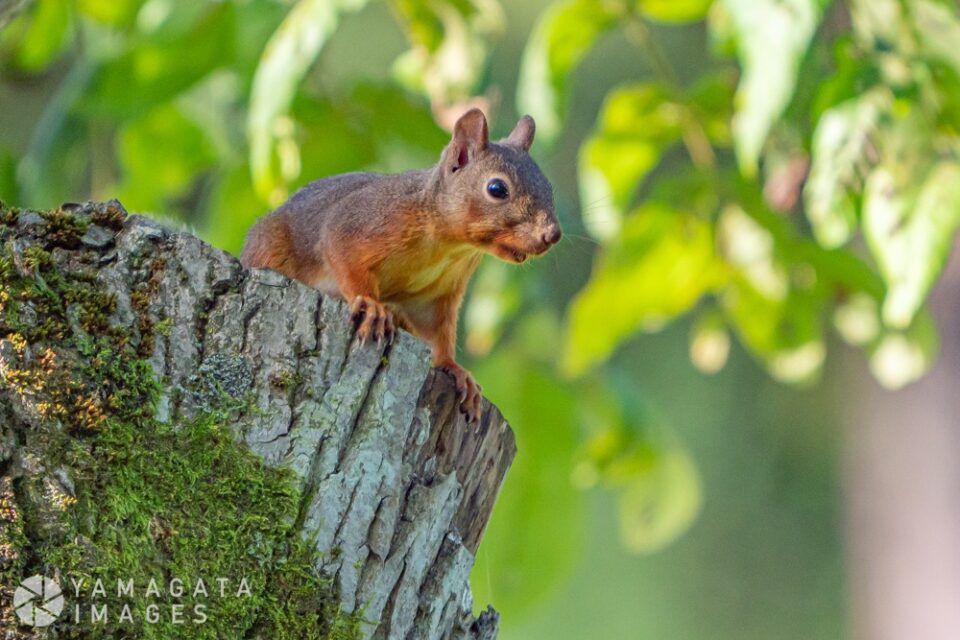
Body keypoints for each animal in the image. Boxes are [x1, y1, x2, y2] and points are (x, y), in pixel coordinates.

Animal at [239, 109, 564, 420]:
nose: (552, 234)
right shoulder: (359, 222)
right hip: (270, 247)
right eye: (497, 188)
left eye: (549, 187)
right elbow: (343, 256)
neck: (449, 247)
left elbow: (437, 333)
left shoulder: (437, 296)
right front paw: (371, 306)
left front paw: (455, 369)